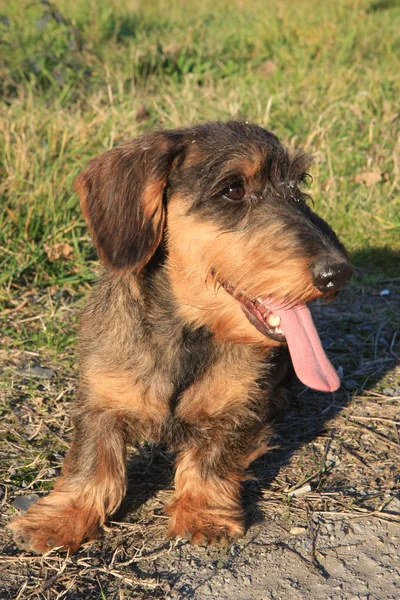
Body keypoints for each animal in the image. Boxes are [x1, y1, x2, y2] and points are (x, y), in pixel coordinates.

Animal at [9, 120, 352, 552]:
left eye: (299, 185)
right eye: (233, 189)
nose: (338, 273)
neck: (186, 332)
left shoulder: (234, 409)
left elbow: (211, 460)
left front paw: (203, 513)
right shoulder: (100, 402)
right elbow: (92, 463)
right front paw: (61, 518)